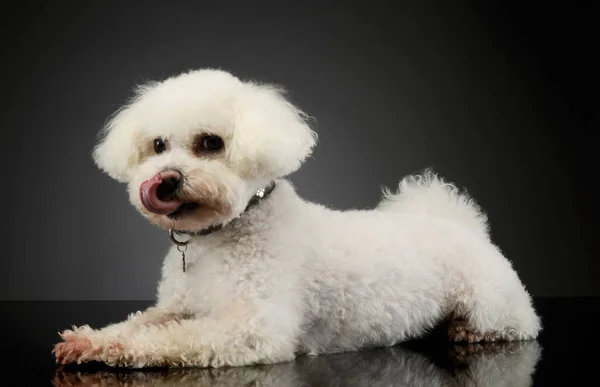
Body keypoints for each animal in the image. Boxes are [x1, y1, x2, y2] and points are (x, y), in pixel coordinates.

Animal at [54, 68, 540, 368]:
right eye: (157, 146)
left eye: (211, 142)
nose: (166, 180)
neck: (222, 236)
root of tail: (460, 224)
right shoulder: (177, 306)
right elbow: (141, 323)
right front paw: (91, 338)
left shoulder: (254, 327)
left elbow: (173, 339)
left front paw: (118, 347)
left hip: (490, 301)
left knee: (517, 325)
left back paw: (466, 331)